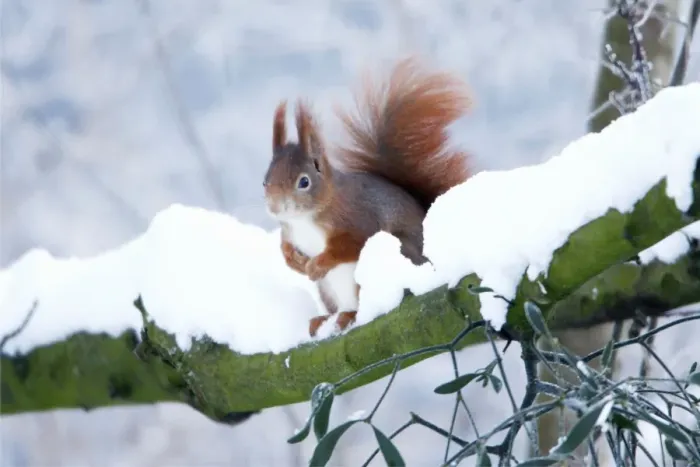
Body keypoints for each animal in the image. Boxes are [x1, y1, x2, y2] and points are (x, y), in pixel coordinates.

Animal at [262, 57, 472, 337]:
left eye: (304, 182)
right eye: (265, 181)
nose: (275, 208)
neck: (305, 219)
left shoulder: (358, 217)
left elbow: (350, 244)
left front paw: (317, 264)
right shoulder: (290, 231)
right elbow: (285, 246)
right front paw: (293, 261)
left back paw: (350, 315)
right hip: (327, 291)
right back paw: (324, 319)